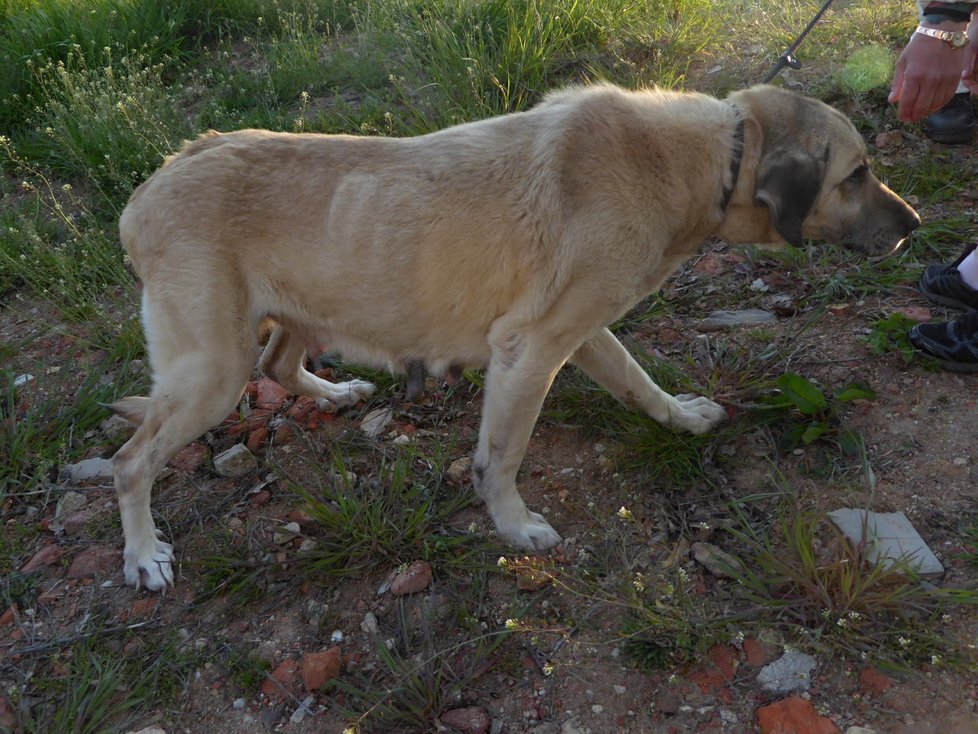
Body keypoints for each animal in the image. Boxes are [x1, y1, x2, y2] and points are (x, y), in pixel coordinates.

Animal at [112, 85, 916, 592]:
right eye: (857, 174)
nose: (914, 226)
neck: (717, 157)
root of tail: (153, 182)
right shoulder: (531, 349)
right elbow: (500, 457)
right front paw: (514, 527)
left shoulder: (582, 331)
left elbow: (640, 383)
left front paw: (682, 419)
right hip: (212, 371)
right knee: (129, 463)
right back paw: (144, 556)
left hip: (283, 323)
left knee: (279, 362)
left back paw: (335, 393)